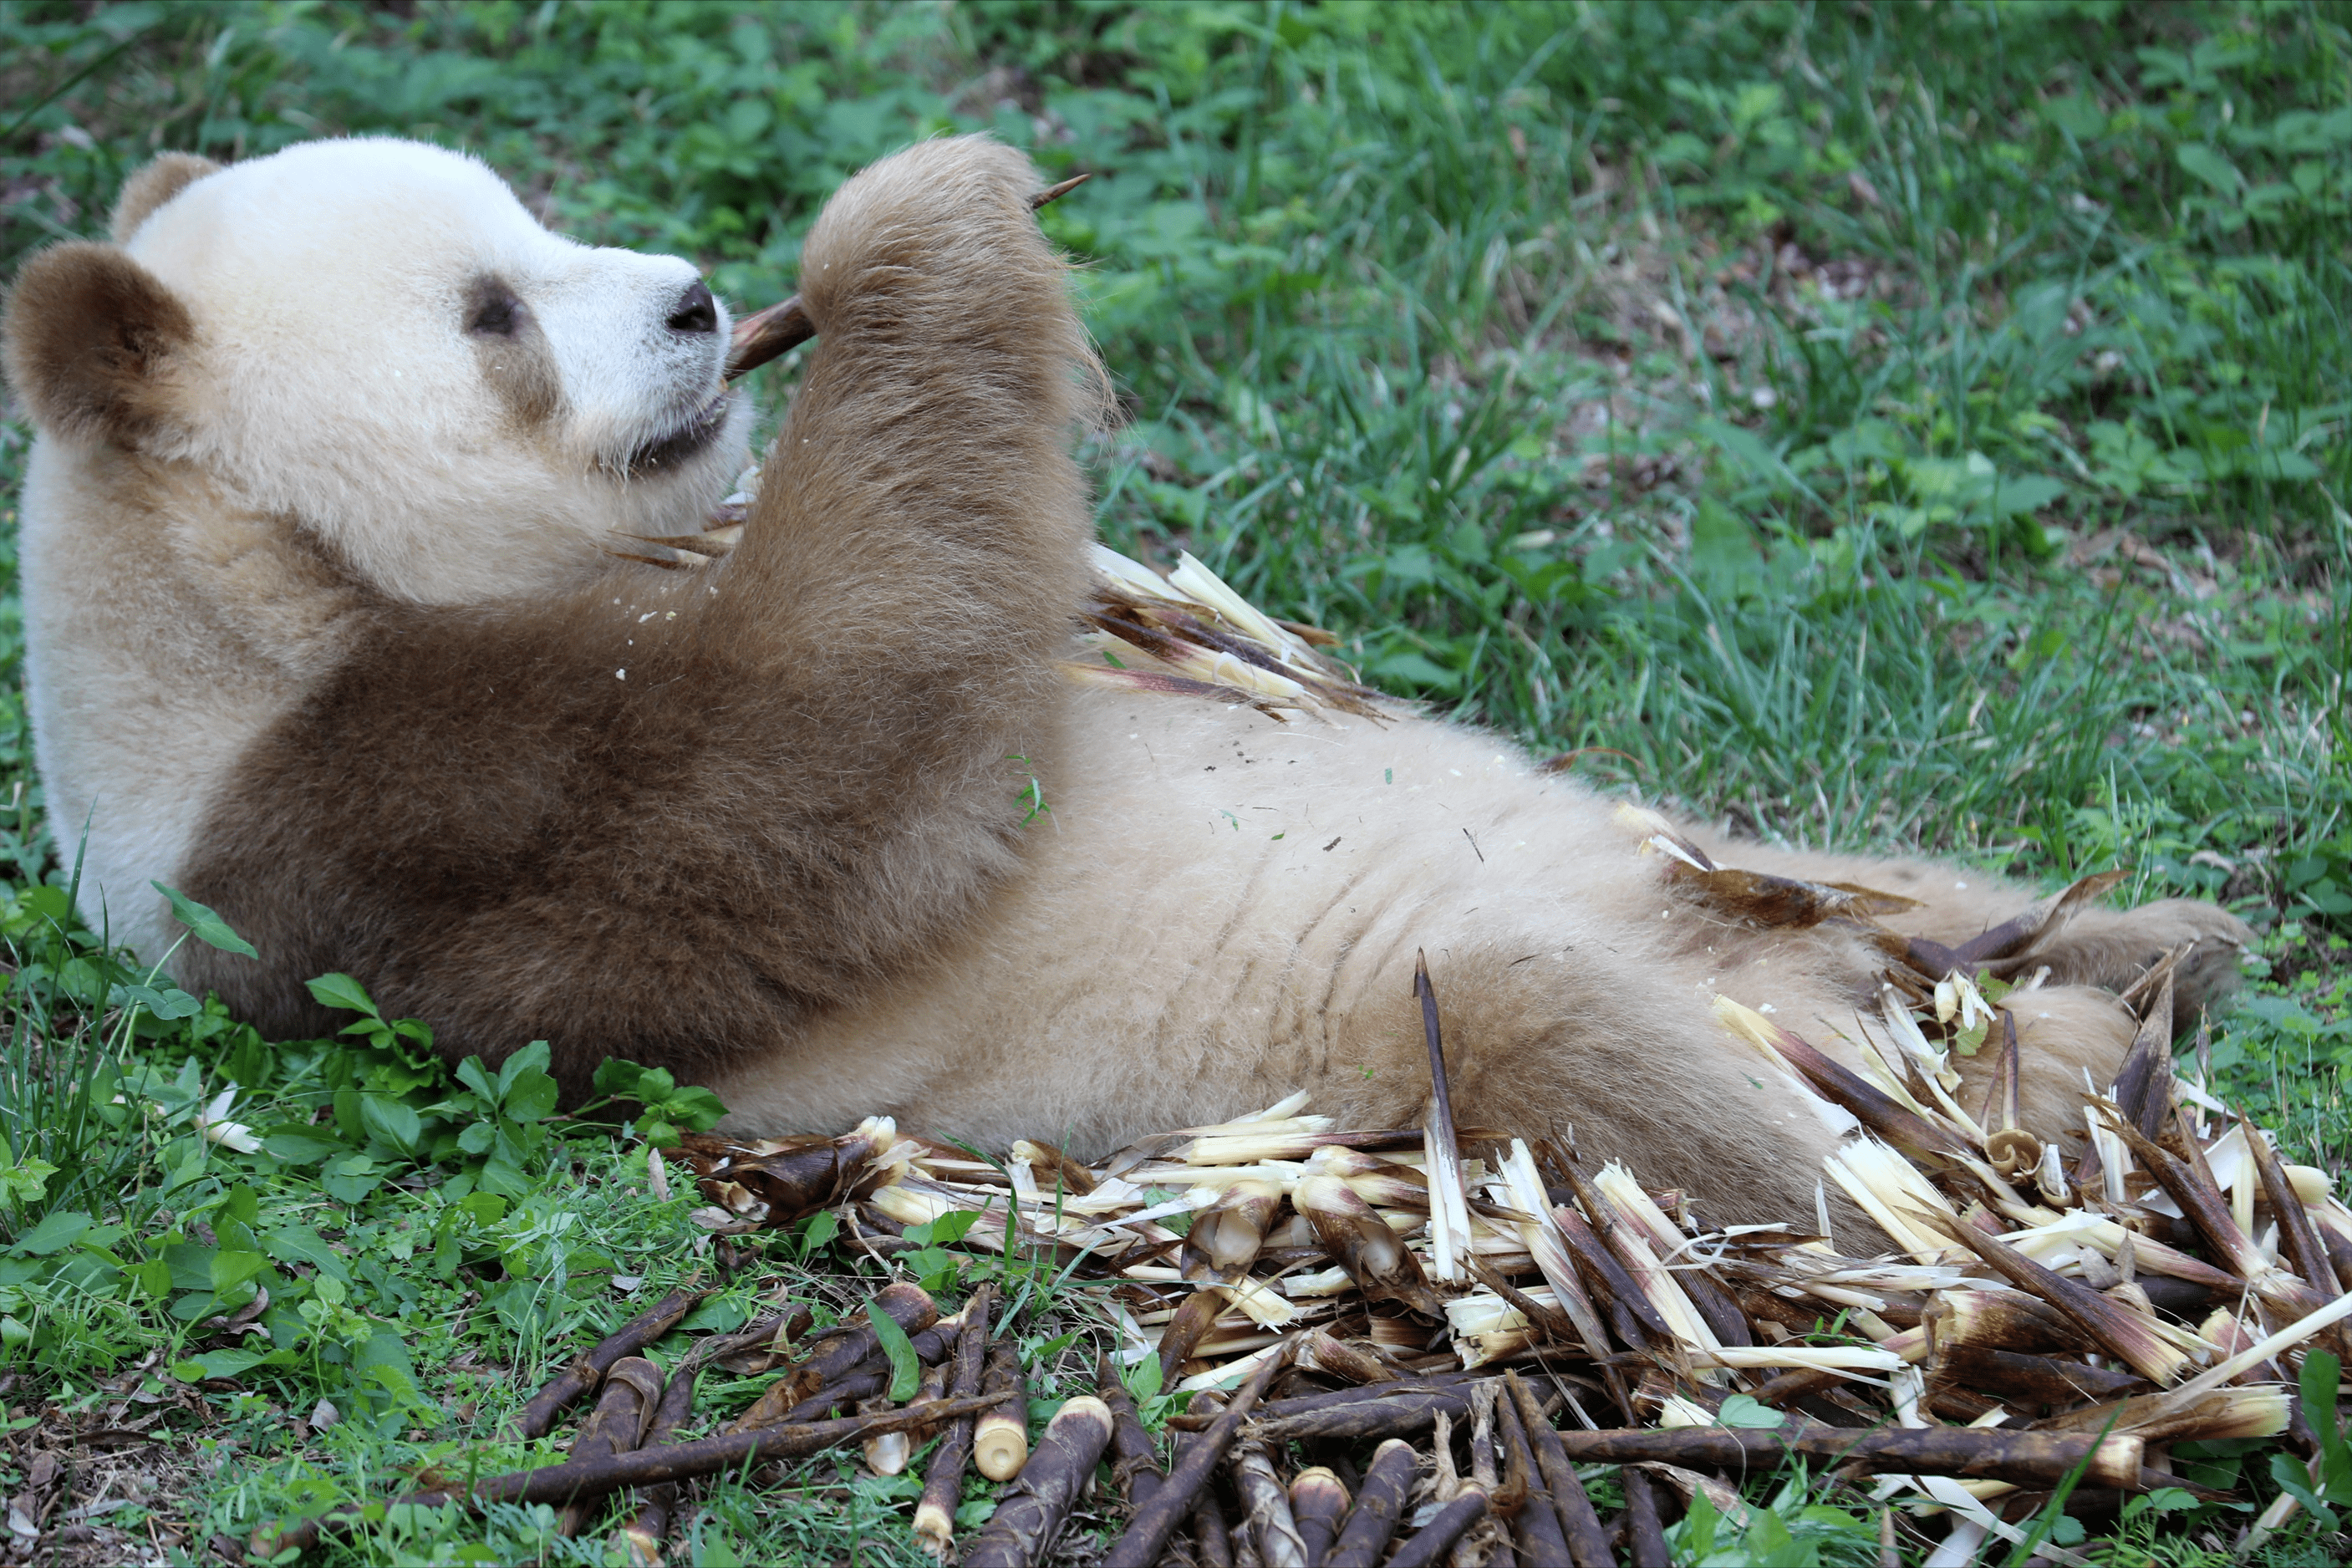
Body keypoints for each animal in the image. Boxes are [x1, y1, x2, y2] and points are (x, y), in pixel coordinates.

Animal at [0, 135, 2238, 1222]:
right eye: (490, 315)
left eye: (539, 224)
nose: (706, 306)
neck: (238, 581)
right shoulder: (361, 820)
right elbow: (818, 775)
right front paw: (916, 217)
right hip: (1384, 1041)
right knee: (1604, 1056)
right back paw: (1974, 1117)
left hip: (1677, 846)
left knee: (1804, 867)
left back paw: (2144, 946)